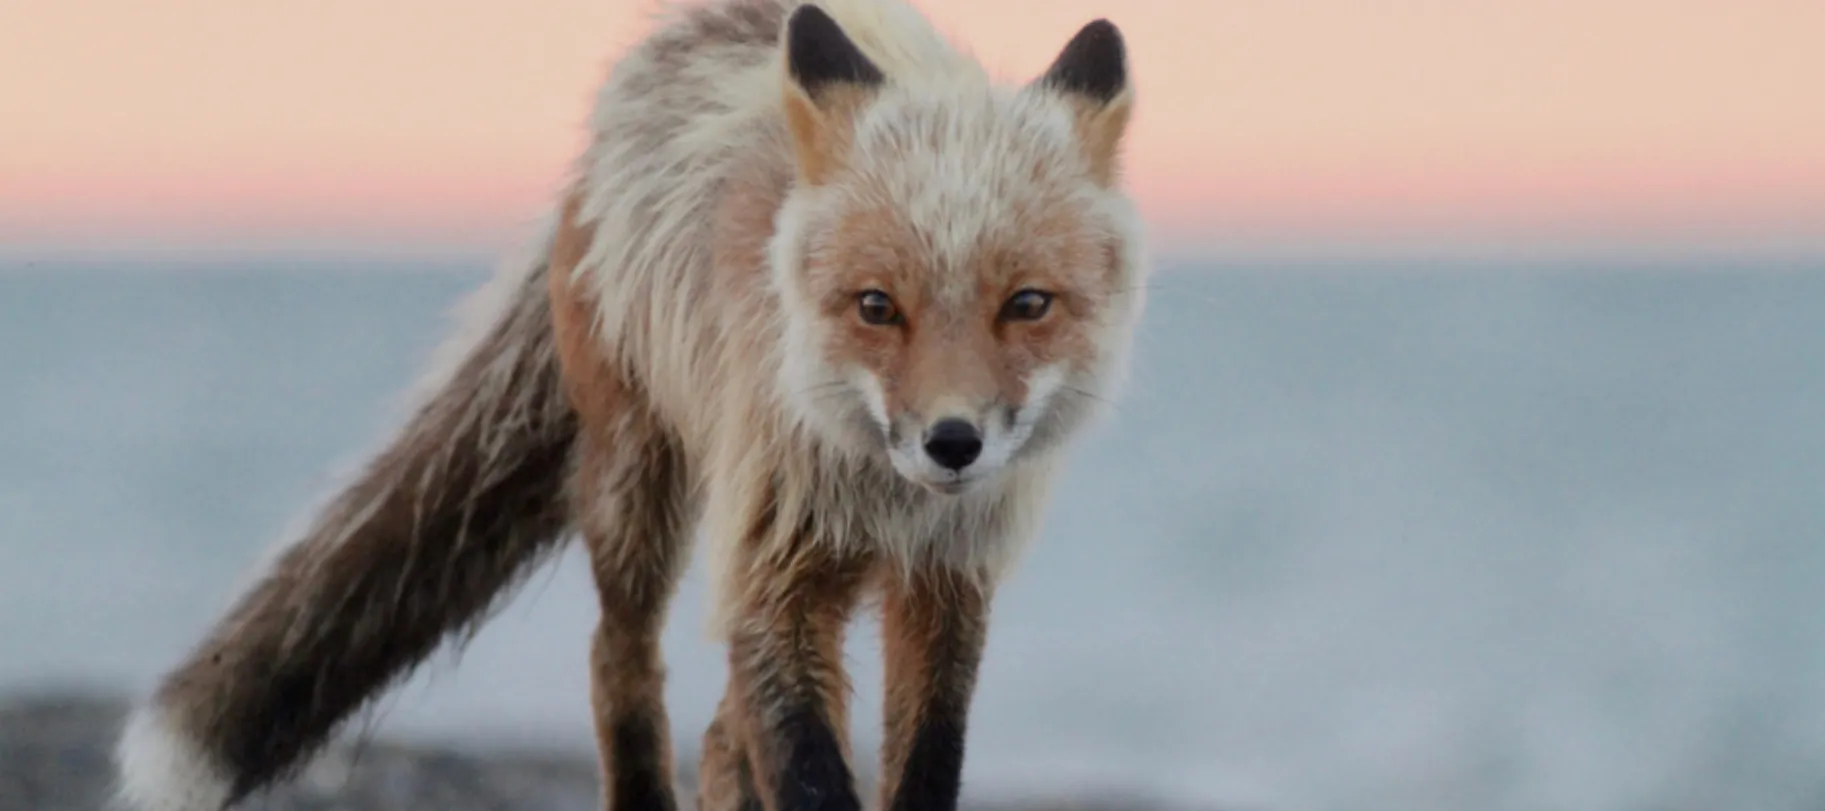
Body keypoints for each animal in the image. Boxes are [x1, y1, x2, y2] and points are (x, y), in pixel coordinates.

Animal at [111, 0, 1147, 810]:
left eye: (1027, 305)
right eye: (876, 306)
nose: (952, 442)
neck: (878, 484)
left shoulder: (947, 582)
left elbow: (923, 760)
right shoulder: (769, 560)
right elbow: (806, 768)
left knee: (723, 734)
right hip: (638, 493)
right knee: (622, 664)